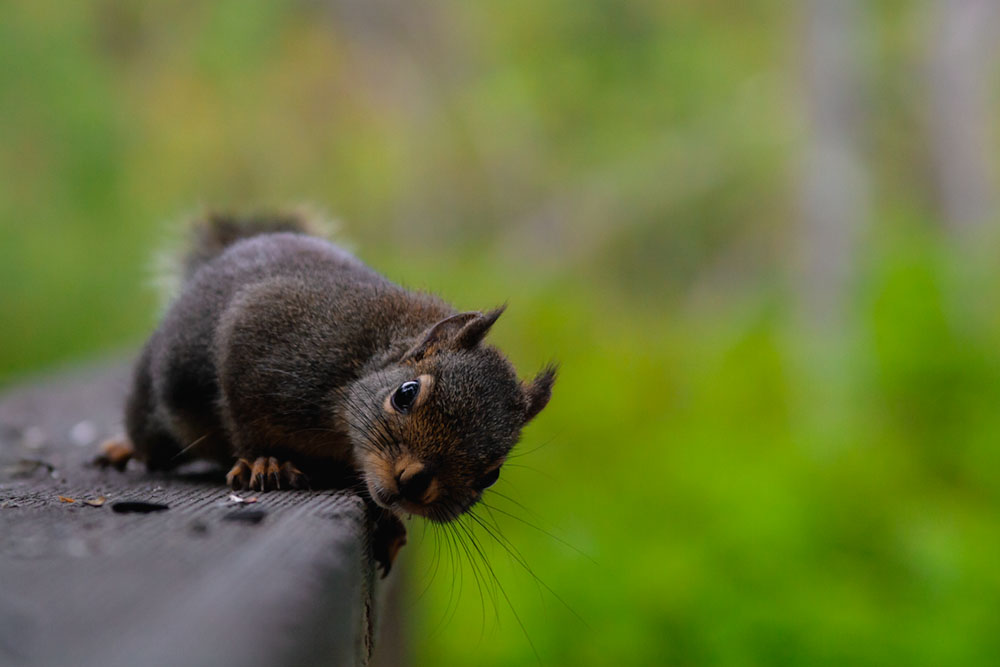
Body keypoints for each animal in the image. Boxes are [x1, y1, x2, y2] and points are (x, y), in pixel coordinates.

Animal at [96, 211, 556, 573]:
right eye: (405, 394)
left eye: (492, 474)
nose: (414, 481)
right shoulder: (266, 331)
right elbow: (245, 420)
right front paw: (265, 460)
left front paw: (387, 522)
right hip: (158, 402)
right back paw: (125, 447)